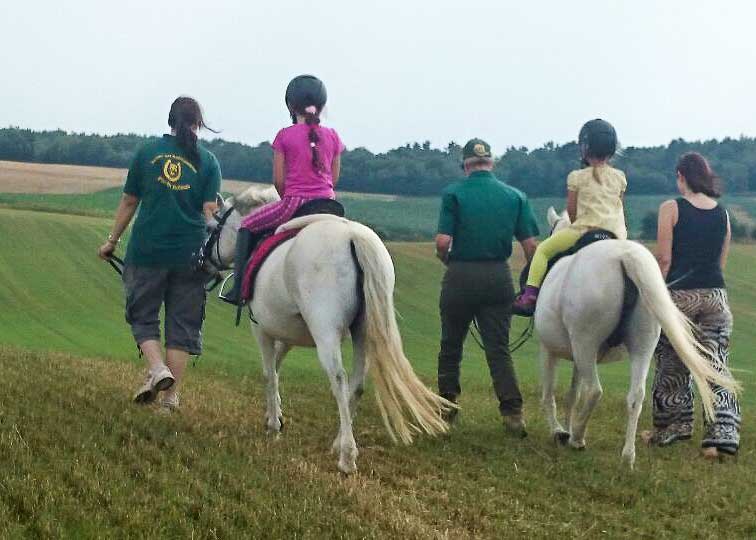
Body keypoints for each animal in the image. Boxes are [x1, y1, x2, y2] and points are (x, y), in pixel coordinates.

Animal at [203, 186, 451, 474]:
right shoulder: (287, 334)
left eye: (211, 227)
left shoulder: (262, 328)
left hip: (326, 334)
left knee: (339, 378)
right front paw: (275, 413)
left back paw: (347, 456)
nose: (202, 261)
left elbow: (269, 373)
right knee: (356, 385)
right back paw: (339, 441)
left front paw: (273, 425)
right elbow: (277, 366)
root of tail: (353, 236)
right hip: (363, 332)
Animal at [534, 207, 739, 468]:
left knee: (594, 391)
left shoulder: (548, 350)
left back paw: (577, 438)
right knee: (635, 396)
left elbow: (550, 393)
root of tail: (624, 257)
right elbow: (572, 394)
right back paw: (627, 456)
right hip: (640, 347)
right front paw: (565, 427)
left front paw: (559, 431)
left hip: (585, 344)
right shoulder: (575, 359)